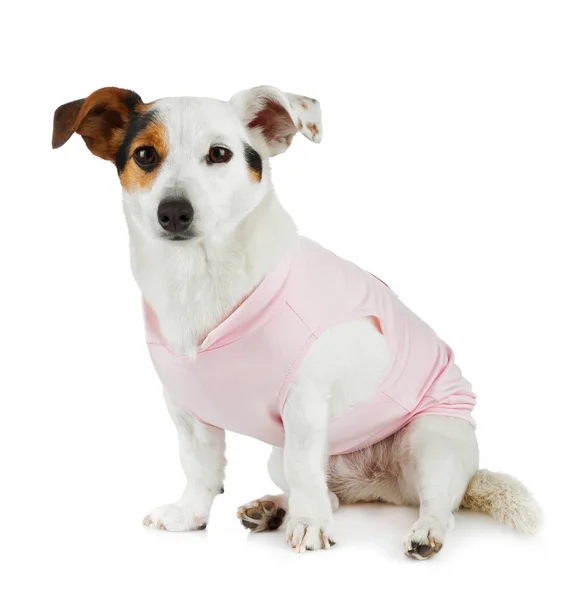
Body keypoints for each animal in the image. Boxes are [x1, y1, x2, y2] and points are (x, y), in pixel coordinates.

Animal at [51, 85, 540, 556]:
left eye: (220, 154)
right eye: (145, 155)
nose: (173, 211)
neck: (199, 276)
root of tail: (378, 486)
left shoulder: (304, 404)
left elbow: (303, 468)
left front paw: (309, 526)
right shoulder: (187, 411)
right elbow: (199, 467)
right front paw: (190, 514)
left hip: (433, 440)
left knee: (437, 503)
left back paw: (422, 531)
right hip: (284, 454)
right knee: (334, 496)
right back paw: (274, 509)